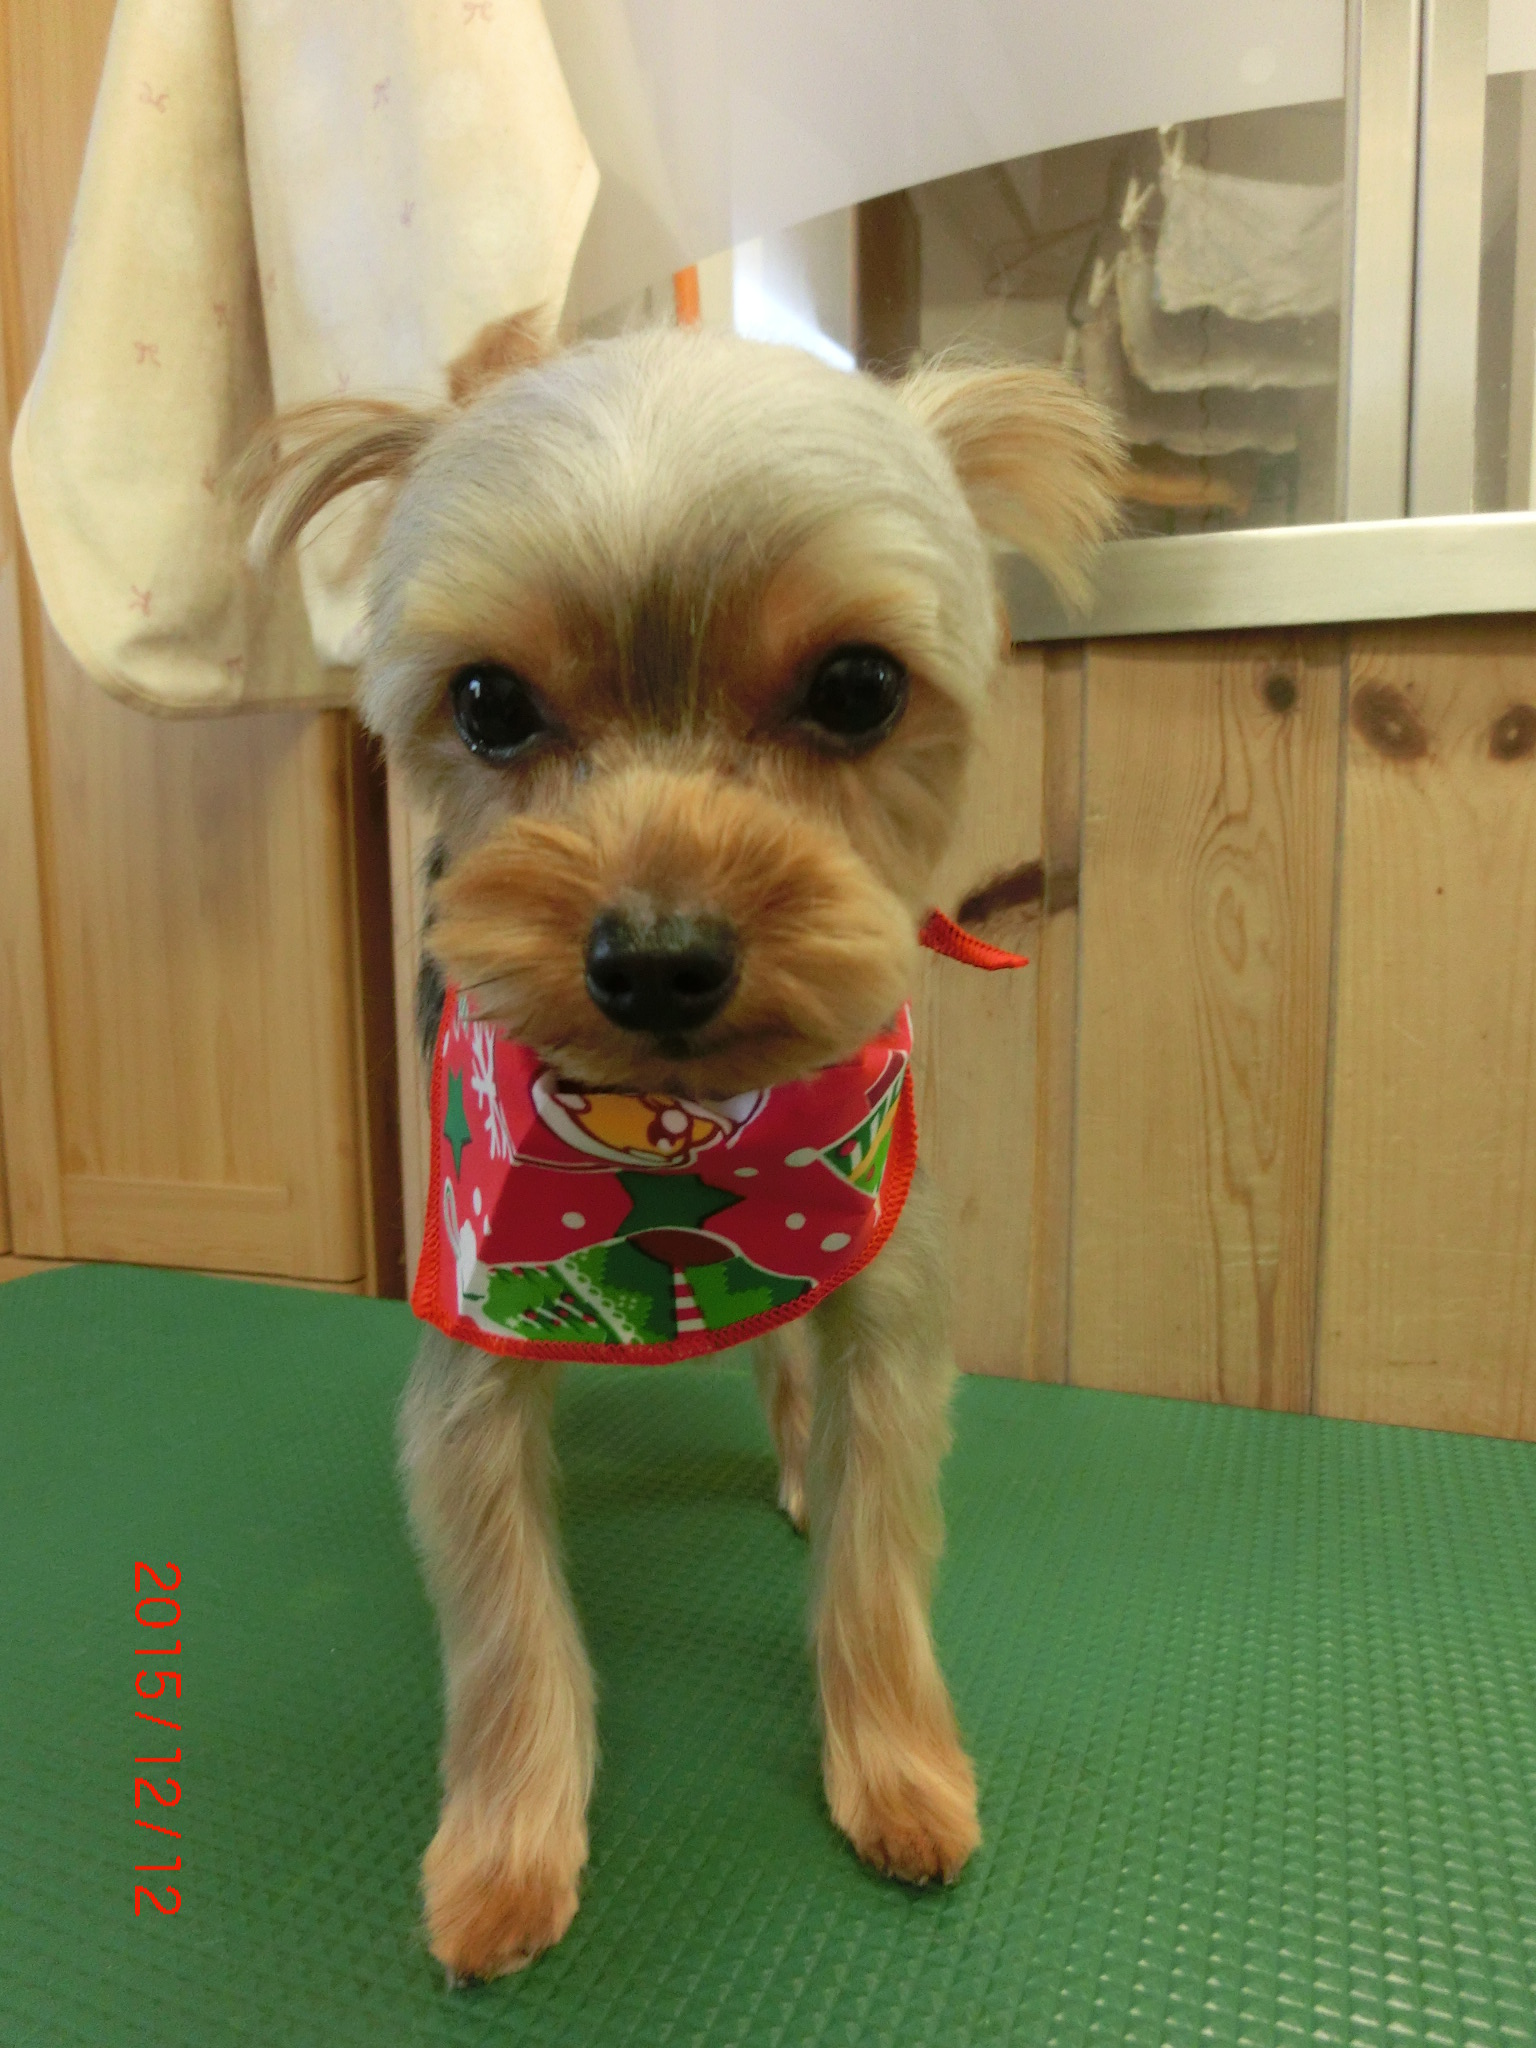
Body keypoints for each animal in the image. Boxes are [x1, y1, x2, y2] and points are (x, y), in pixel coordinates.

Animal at [243, 319, 1119, 1982]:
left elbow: (876, 1554)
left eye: (857, 685)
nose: (654, 958)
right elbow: (505, 1616)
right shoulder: (477, 1318)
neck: (676, 1148)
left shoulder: (881, 1284)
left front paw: (898, 1774)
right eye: (489, 703)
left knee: (780, 1369)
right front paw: (504, 1856)